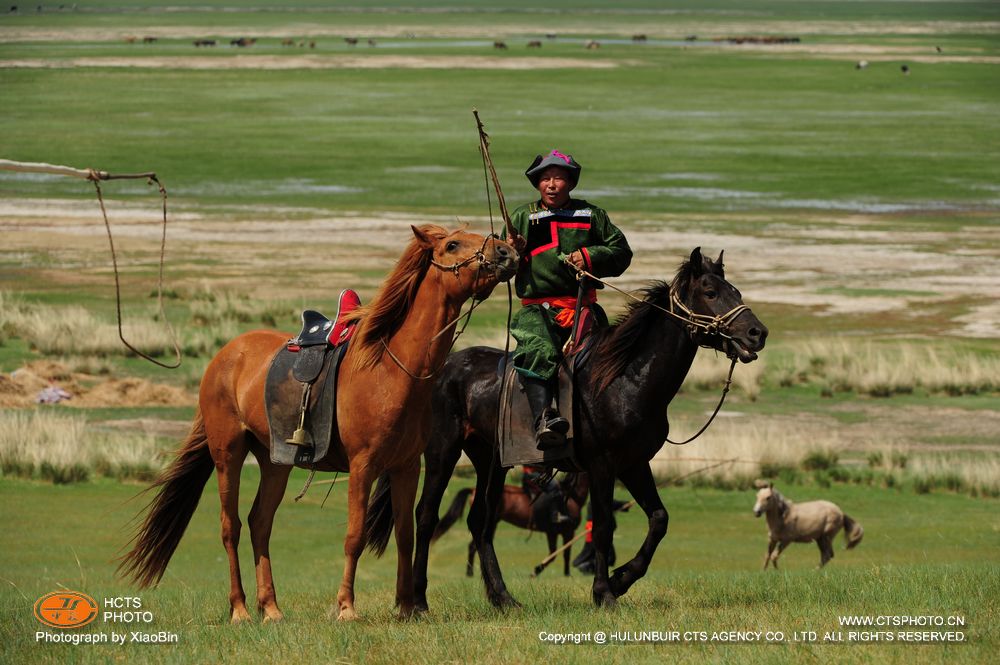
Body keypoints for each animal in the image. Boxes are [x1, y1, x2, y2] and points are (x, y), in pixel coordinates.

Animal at [119, 226, 516, 620]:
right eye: (452, 244)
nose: (506, 251)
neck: (391, 368)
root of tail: (224, 356)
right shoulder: (363, 466)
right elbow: (355, 536)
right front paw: (346, 607)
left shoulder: (406, 467)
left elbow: (405, 534)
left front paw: (406, 608)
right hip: (227, 454)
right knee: (230, 527)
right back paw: (240, 609)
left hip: (275, 461)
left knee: (260, 523)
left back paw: (271, 609)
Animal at [434, 472, 588, 576]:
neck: (572, 496)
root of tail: (472, 490)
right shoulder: (567, 531)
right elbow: (564, 553)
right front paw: (564, 574)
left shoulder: (552, 532)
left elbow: (554, 553)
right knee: (473, 546)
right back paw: (470, 573)